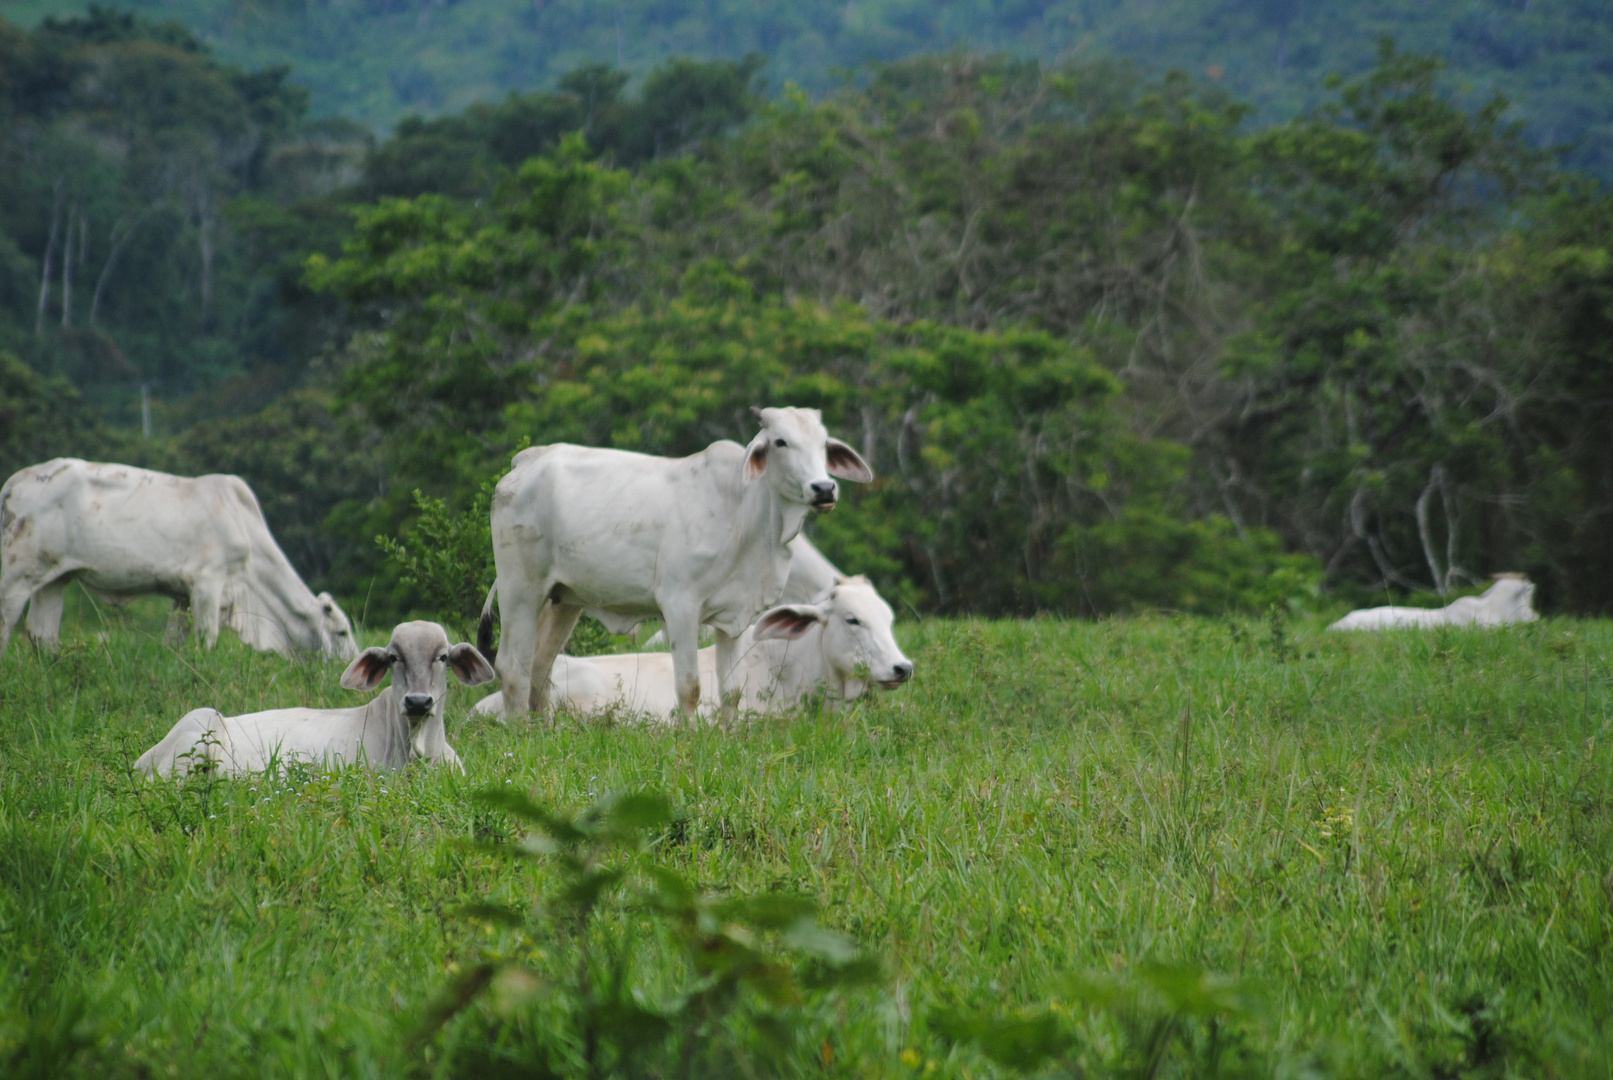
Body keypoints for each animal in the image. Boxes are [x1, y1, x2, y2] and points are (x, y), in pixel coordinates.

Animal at [0, 457, 356, 660]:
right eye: (342, 632)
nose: (353, 665)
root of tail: (16, 481)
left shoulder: (183, 596)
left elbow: (174, 641)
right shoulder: (207, 583)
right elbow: (208, 638)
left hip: (53, 577)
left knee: (41, 633)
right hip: (17, 572)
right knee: (7, 621)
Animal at [136, 622, 493, 783]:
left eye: (443, 657)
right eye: (394, 658)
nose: (418, 702)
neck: (421, 751)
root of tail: (142, 761)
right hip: (198, 730)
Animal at [483, 411, 877, 722]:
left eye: (823, 444)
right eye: (781, 442)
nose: (823, 488)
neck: (745, 512)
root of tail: (526, 461)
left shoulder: (736, 616)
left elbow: (731, 691)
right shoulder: (680, 606)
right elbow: (690, 687)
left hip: (564, 600)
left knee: (540, 666)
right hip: (521, 590)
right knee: (512, 668)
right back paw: (519, 733)